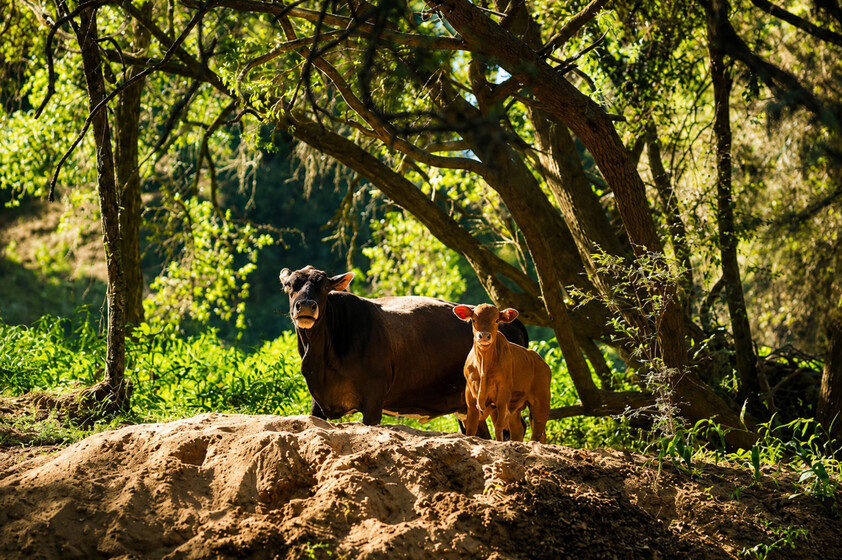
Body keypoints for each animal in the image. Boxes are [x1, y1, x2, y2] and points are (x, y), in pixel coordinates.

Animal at [279, 265, 529, 430]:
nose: (306, 306)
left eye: (324, 286)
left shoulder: (373, 399)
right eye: (290, 286)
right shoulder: (317, 404)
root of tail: (506, 318)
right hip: (468, 408)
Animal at [453, 303, 551, 443]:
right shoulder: (471, 400)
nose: (484, 336)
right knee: (518, 430)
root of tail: (541, 361)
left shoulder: (502, 397)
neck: (483, 368)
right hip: (515, 407)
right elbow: (471, 430)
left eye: (496, 320)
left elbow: (498, 427)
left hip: (541, 401)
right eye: (473, 320)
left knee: (538, 431)